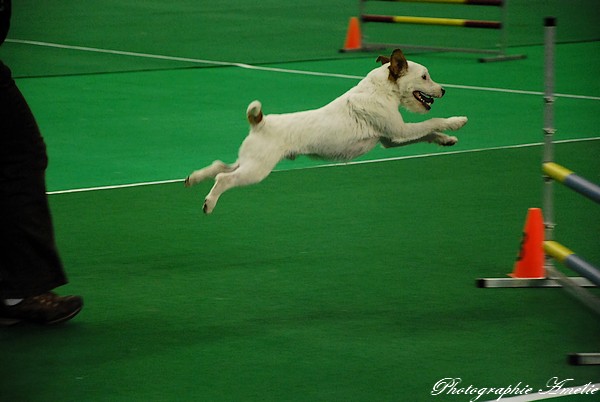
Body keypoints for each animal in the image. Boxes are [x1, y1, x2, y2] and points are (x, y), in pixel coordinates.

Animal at [185, 48, 466, 214]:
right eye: (425, 77)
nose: (443, 90)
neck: (380, 90)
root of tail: (260, 122)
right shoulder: (400, 131)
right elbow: (431, 122)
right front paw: (456, 121)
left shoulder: (391, 138)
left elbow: (428, 133)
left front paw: (447, 140)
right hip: (256, 169)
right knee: (224, 177)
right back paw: (209, 202)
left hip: (250, 160)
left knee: (221, 165)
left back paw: (193, 178)